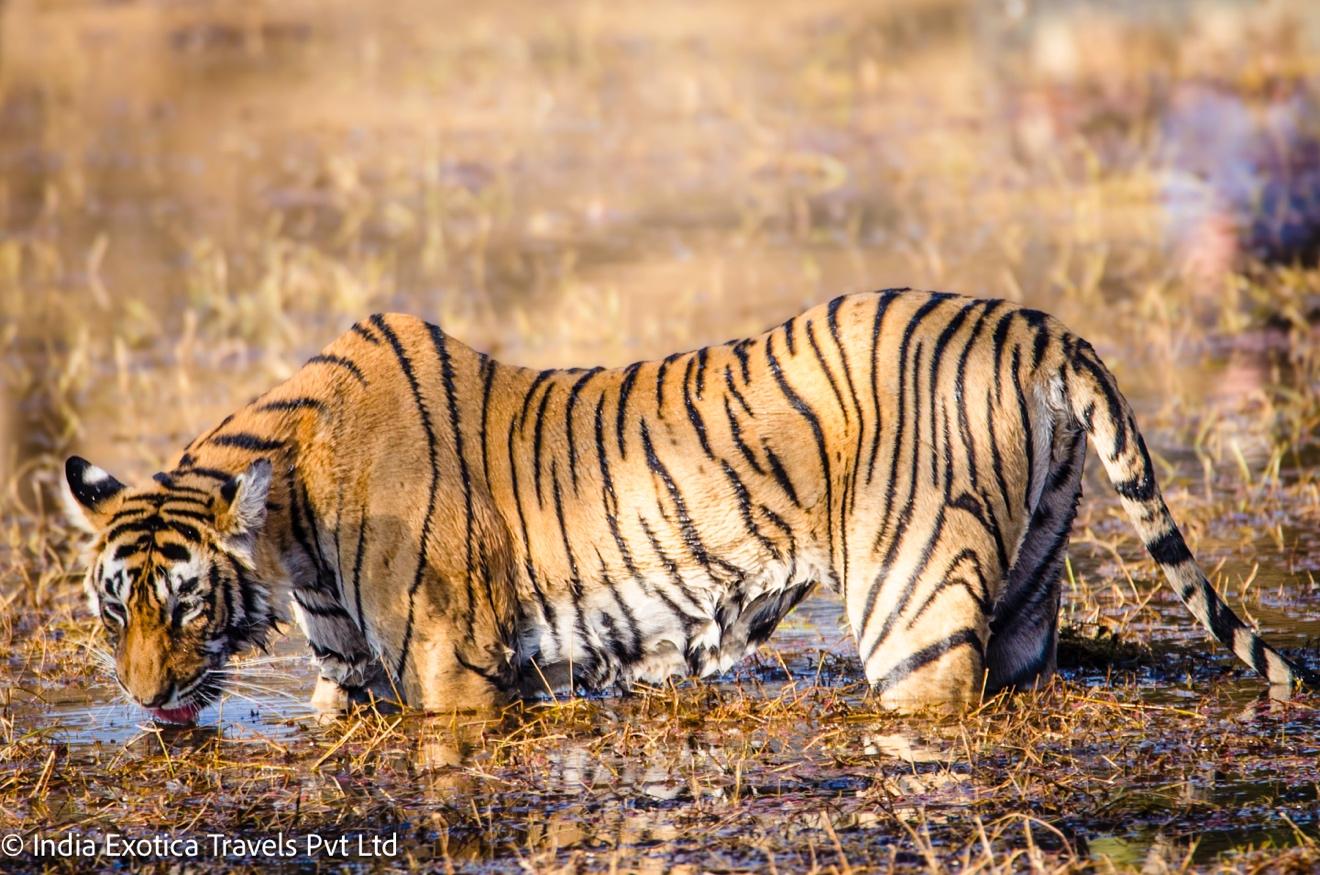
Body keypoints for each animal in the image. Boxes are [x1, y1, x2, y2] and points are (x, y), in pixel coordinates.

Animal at [63, 289, 1316, 724]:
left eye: (183, 604)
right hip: (1028, 592)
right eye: (113, 607)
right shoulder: (347, 677)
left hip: (913, 617)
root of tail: (1034, 323)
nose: (147, 698)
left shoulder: (450, 667)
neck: (291, 527)